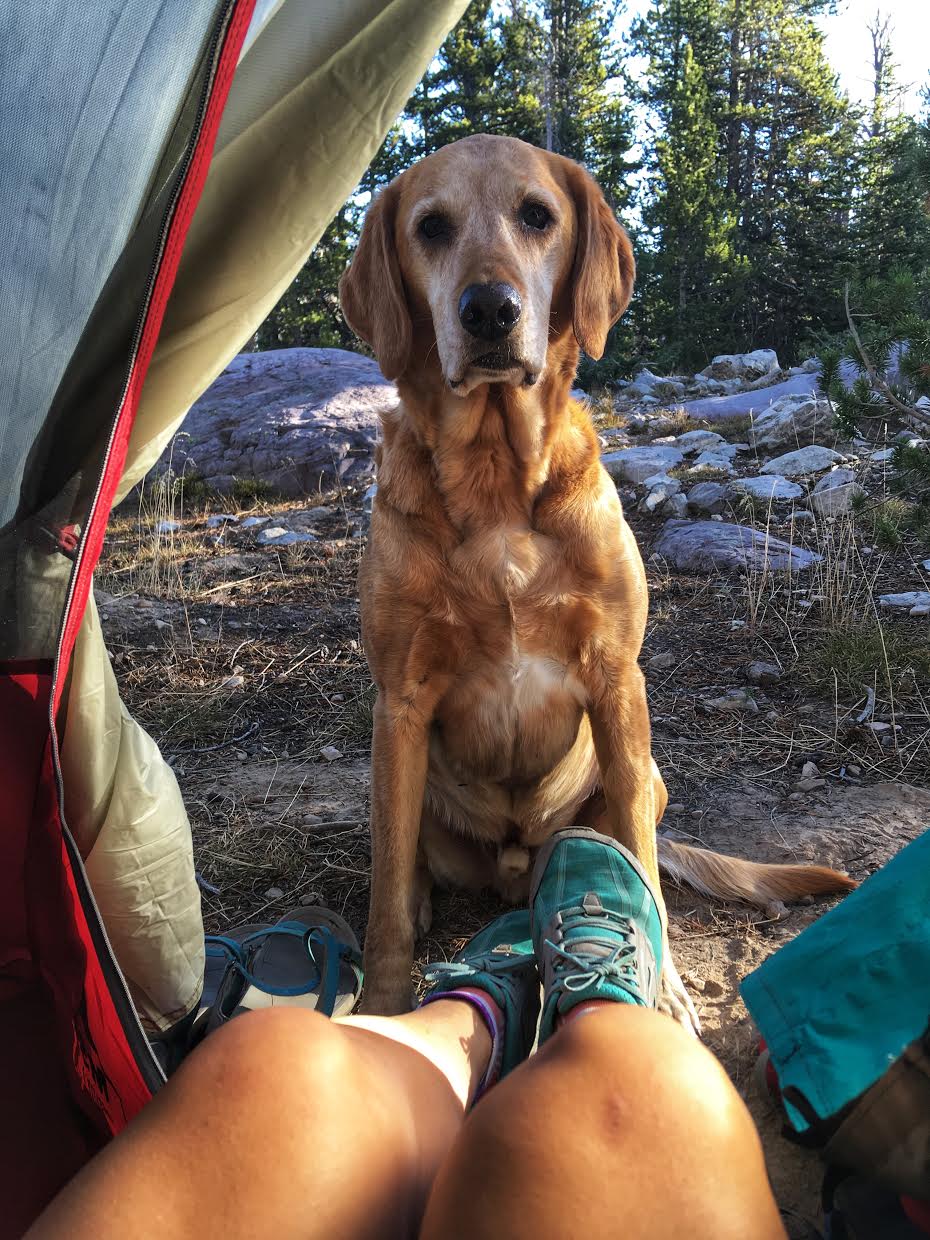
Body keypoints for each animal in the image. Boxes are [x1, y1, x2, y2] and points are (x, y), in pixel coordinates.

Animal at [339, 138, 858, 1026]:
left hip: (645, 777)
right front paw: (380, 1002)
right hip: (393, 777)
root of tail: (517, 870)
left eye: (536, 216)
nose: (489, 310)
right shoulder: (400, 700)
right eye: (430, 227)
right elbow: (382, 898)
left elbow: (643, 866)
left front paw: (667, 991)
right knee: (404, 860)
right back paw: (425, 899)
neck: (496, 478)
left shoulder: (618, 679)